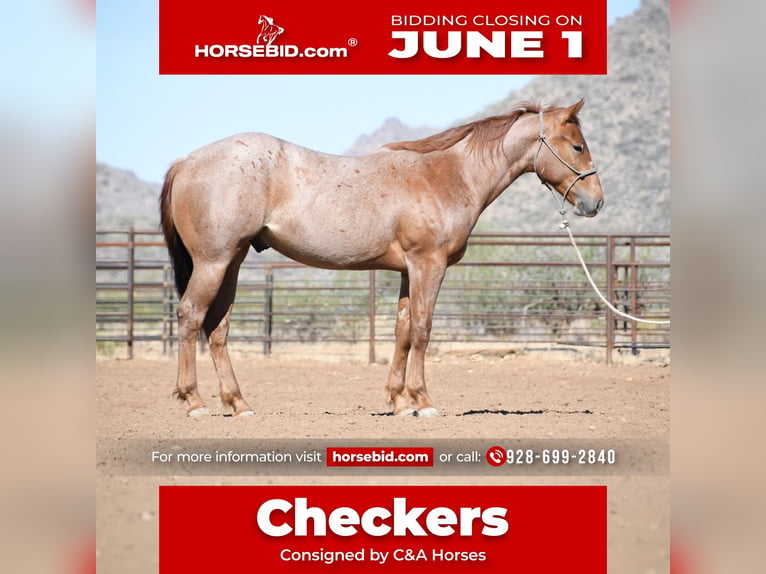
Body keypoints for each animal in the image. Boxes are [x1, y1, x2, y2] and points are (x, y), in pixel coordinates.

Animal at [159, 100, 603, 417]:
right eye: (577, 146)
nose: (595, 202)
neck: (447, 175)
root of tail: (186, 161)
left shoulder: (409, 271)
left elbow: (403, 331)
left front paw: (399, 401)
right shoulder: (428, 265)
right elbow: (423, 329)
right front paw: (423, 402)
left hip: (231, 263)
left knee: (217, 328)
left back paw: (239, 404)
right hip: (214, 262)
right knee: (190, 317)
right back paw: (195, 402)